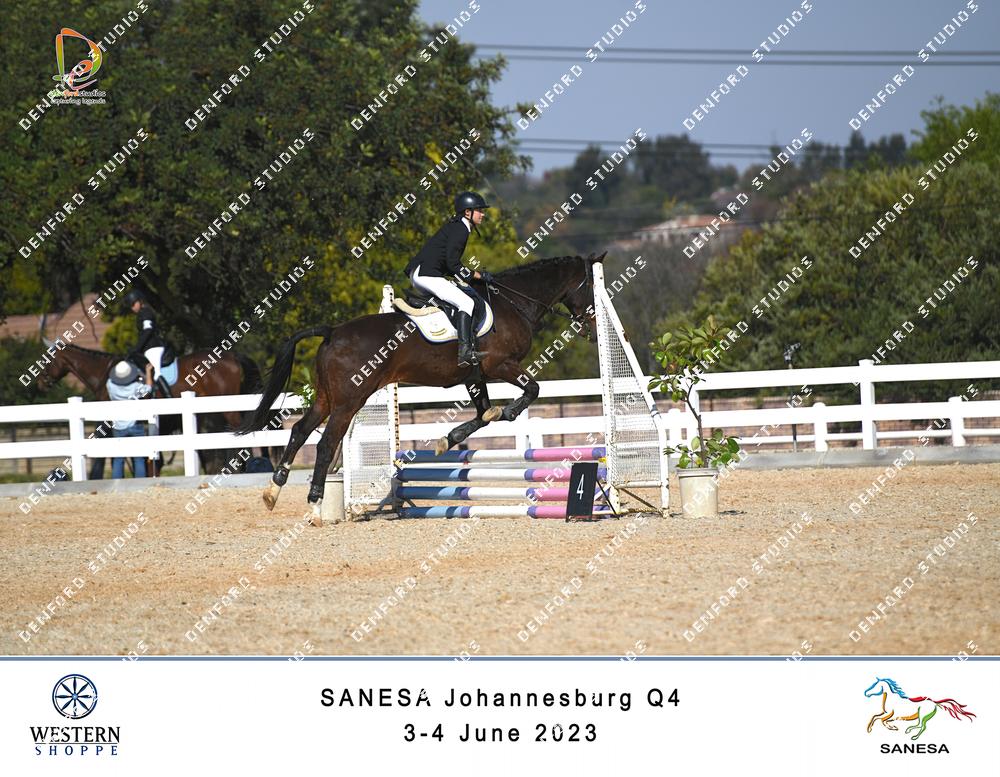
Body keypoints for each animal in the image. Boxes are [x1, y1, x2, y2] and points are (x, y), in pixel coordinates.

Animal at [238, 253, 604, 520]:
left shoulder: (475, 375)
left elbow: (483, 412)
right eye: (590, 286)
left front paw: (448, 440)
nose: (593, 328)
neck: (513, 303)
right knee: (327, 443)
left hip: (327, 399)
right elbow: (530, 391)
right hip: (349, 401)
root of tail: (332, 331)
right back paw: (314, 503)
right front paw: (508, 412)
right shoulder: (499, 365)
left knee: (300, 430)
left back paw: (272, 492)